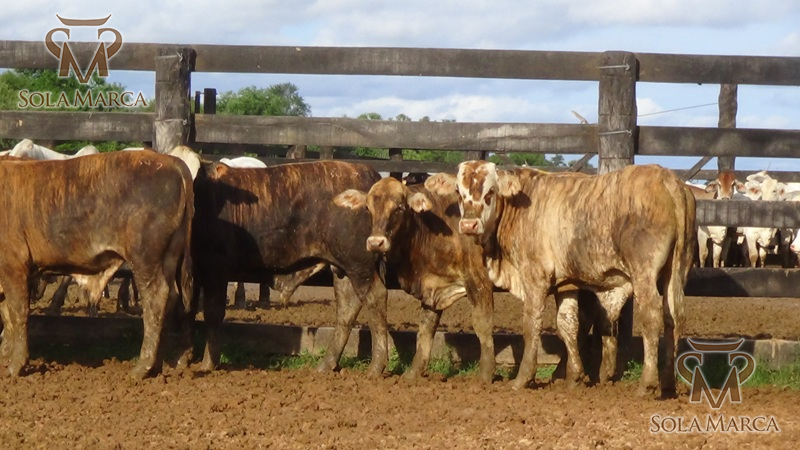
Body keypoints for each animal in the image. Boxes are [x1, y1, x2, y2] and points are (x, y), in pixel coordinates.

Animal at [0, 151, 193, 379]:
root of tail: (172, 162)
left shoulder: (13, 265)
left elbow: (17, 312)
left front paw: (15, 365)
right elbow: (6, 314)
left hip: (145, 257)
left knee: (155, 299)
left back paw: (142, 367)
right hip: (168, 257)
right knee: (171, 300)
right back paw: (156, 366)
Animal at [189, 157, 388, 375]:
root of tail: (367, 172)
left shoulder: (214, 270)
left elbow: (212, 314)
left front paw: (208, 363)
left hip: (359, 265)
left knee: (375, 299)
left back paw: (376, 367)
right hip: (342, 269)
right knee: (347, 308)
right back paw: (327, 364)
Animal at [333, 177, 496, 382]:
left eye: (399, 207)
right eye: (368, 208)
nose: (375, 242)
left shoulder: (479, 280)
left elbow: (483, 324)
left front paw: (485, 376)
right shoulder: (433, 288)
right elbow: (426, 329)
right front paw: (412, 373)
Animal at [426, 162, 695, 397]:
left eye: (490, 190)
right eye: (458, 191)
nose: (468, 224)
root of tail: (667, 179)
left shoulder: (535, 278)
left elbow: (531, 325)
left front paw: (523, 379)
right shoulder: (566, 284)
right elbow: (567, 325)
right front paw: (574, 377)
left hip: (644, 273)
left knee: (651, 317)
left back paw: (647, 384)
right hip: (677, 270)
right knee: (673, 318)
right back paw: (668, 384)